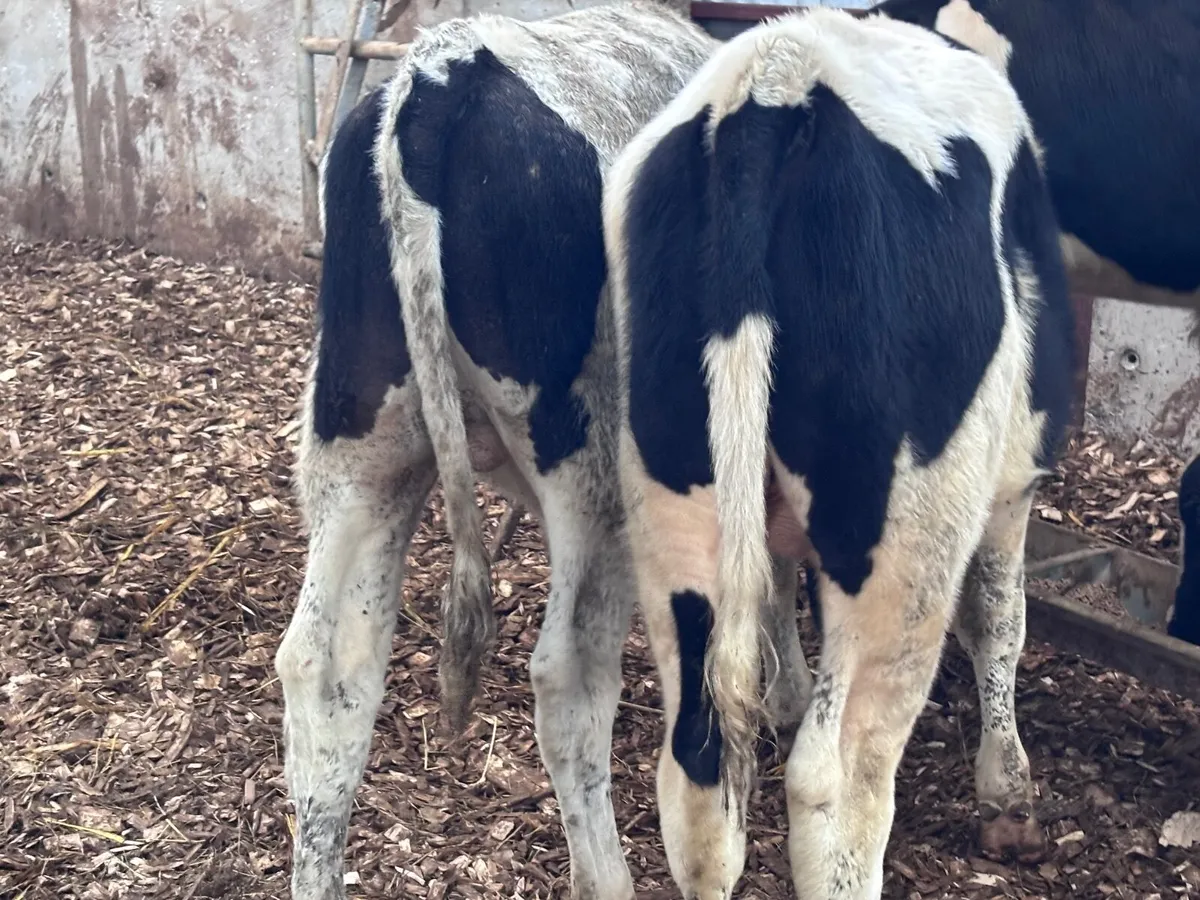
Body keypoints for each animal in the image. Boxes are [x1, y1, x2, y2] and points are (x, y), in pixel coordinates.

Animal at [270, 5, 824, 899]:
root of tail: (441, 73)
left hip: (363, 442)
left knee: (324, 670)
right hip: (594, 467)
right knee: (567, 679)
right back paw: (608, 875)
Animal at [604, 7, 1074, 897]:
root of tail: (778, 80)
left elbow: (776, 585)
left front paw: (785, 692)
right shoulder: (1011, 481)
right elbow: (999, 617)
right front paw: (1010, 794)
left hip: (675, 496)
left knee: (697, 770)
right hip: (908, 540)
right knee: (837, 778)